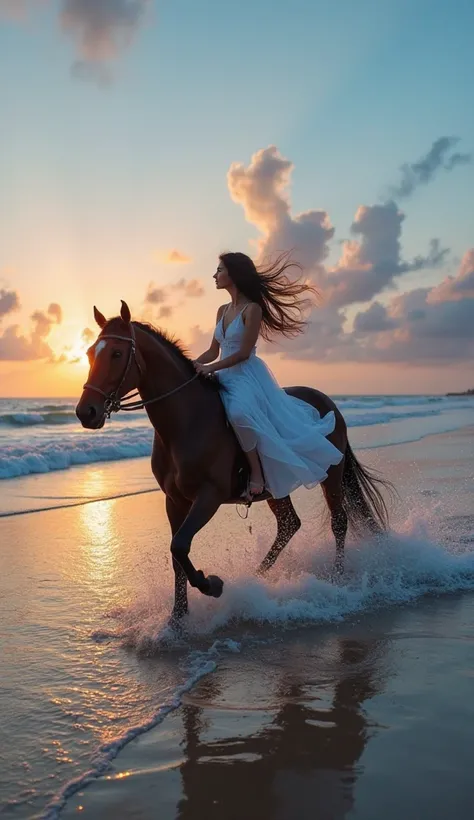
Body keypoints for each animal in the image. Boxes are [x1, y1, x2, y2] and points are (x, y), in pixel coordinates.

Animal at [75, 302, 392, 620]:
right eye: (90, 353)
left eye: (116, 354)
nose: (85, 412)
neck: (187, 421)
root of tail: (328, 402)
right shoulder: (174, 500)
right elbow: (177, 554)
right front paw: (178, 617)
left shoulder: (209, 496)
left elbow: (180, 545)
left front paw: (210, 585)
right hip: (277, 485)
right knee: (289, 524)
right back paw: (255, 578)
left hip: (332, 474)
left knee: (339, 521)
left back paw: (337, 579)